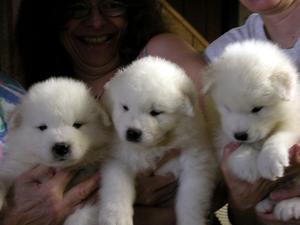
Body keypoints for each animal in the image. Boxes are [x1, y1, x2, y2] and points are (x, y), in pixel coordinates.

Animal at [0, 77, 111, 225]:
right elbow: (3, 177)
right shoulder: (15, 167)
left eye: (77, 125)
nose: (61, 147)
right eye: (42, 127)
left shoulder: (92, 198)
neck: (57, 168)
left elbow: (80, 216)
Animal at [99, 56, 217, 225]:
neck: (152, 149)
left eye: (155, 112)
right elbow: (117, 188)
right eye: (125, 107)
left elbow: (190, 201)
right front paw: (116, 218)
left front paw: (191, 220)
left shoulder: (197, 162)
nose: (132, 133)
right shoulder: (118, 160)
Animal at [202, 39, 300, 221]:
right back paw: (266, 204)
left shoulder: (293, 121)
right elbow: (233, 147)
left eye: (257, 109)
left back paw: (290, 206)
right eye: (227, 108)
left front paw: (270, 160)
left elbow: (280, 136)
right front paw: (249, 164)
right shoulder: (220, 132)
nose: (240, 135)